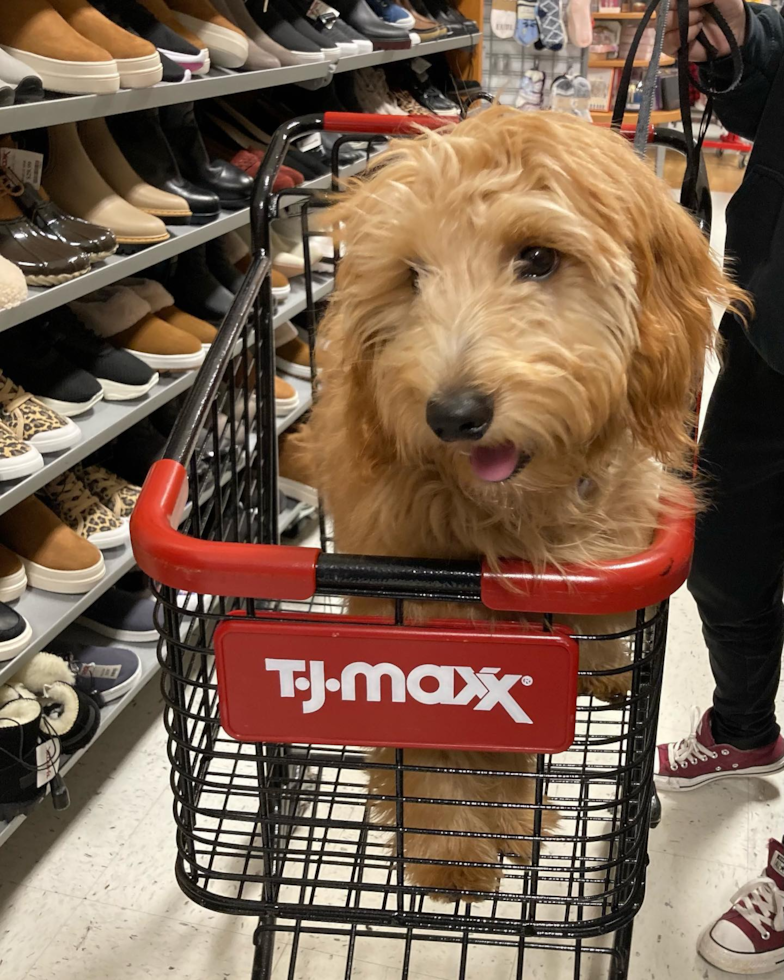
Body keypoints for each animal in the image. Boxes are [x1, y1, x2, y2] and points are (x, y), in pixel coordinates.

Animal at [292, 107, 740, 904]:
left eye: (537, 257)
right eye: (411, 276)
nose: (453, 415)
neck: (517, 515)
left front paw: (511, 816)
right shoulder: (420, 621)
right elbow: (443, 750)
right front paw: (457, 853)